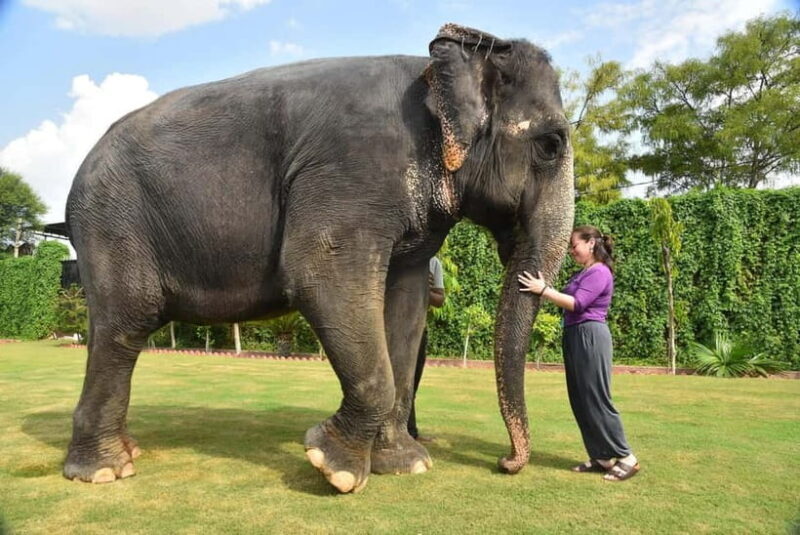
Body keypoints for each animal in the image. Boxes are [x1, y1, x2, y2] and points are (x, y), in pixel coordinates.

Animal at [64, 23, 574, 493]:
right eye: (550, 145)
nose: (506, 464)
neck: (432, 76)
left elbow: (405, 307)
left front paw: (405, 464)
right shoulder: (351, 171)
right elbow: (318, 274)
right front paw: (335, 468)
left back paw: (126, 453)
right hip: (112, 221)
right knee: (127, 323)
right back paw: (105, 470)